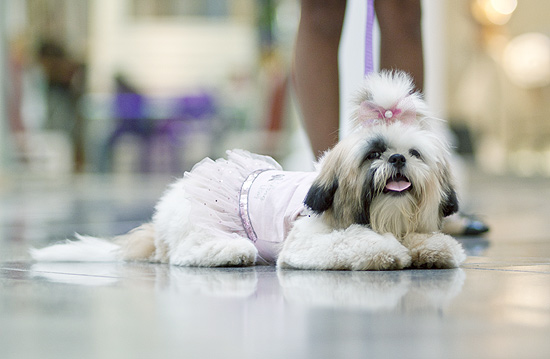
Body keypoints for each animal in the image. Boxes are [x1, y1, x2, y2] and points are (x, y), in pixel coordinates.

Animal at [32, 71, 468, 272]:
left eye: (414, 153)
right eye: (373, 153)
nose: (396, 160)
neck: (380, 219)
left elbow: (431, 242)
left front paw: (431, 248)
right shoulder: (306, 243)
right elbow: (358, 243)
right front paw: (387, 251)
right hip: (202, 229)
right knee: (190, 253)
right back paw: (232, 253)